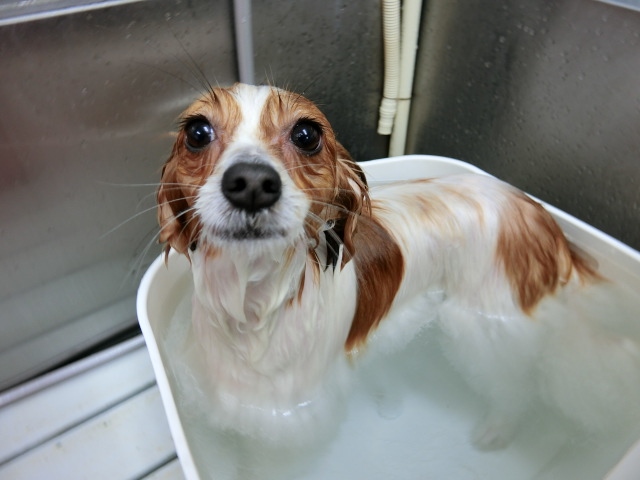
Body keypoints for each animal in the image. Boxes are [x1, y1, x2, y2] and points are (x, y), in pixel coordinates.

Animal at [157, 83, 640, 450]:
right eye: (197, 131)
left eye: (307, 134)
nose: (253, 183)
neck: (252, 304)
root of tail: (543, 220)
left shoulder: (291, 416)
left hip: (482, 331)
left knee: (515, 389)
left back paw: (498, 428)